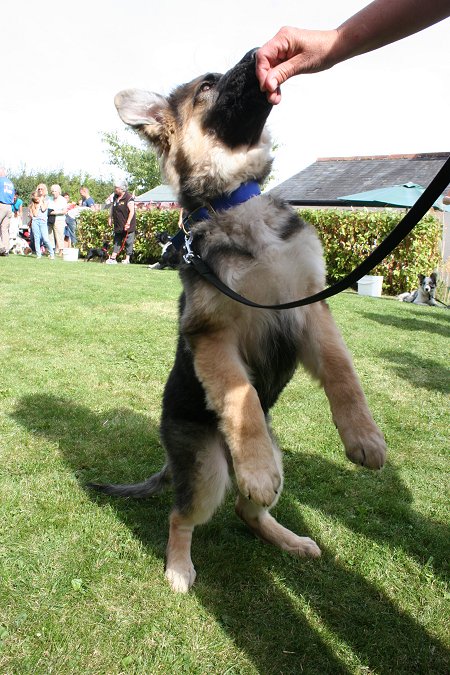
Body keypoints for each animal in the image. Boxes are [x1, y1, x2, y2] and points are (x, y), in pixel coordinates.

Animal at [89, 50, 386, 596]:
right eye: (208, 85)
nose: (258, 54)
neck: (234, 203)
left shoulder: (309, 308)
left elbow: (342, 372)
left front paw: (364, 438)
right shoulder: (214, 333)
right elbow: (240, 395)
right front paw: (256, 467)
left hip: (276, 454)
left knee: (249, 513)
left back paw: (288, 538)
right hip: (207, 467)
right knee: (180, 516)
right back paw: (179, 565)